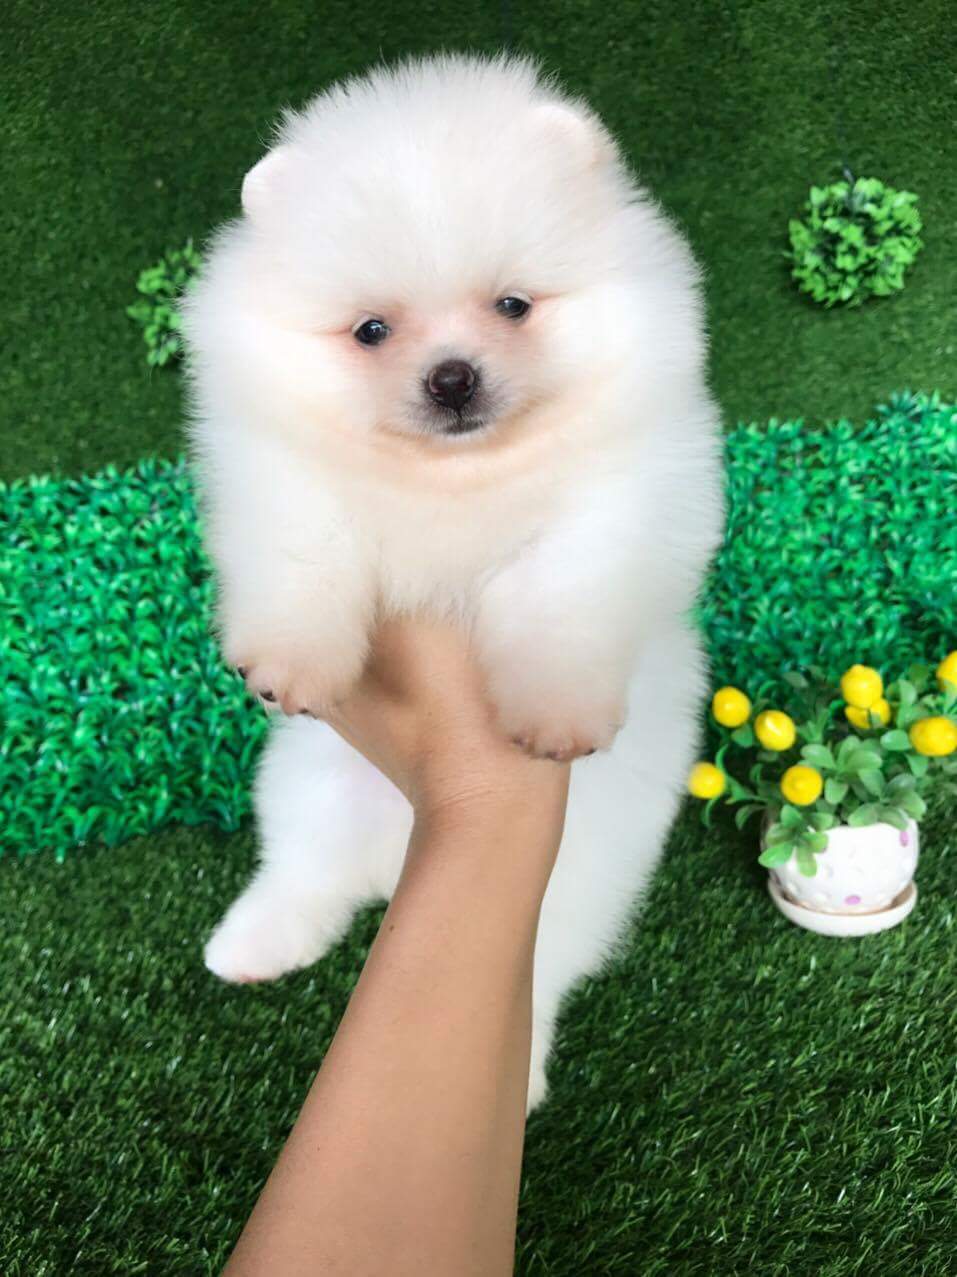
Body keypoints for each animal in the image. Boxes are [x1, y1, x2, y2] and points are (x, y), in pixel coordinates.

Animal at [183, 54, 723, 1108]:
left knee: (537, 974)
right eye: (371, 330)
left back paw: (520, 1069)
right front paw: (291, 660)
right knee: (300, 876)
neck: (454, 478)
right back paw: (250, 944)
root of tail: (396, 856)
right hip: (307, 786)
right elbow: (304, 548)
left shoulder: (627, 499)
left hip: (573, 878)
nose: (452, 377)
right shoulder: (276, 475)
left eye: (512, 305)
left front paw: (553, 711)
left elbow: (564, 590)